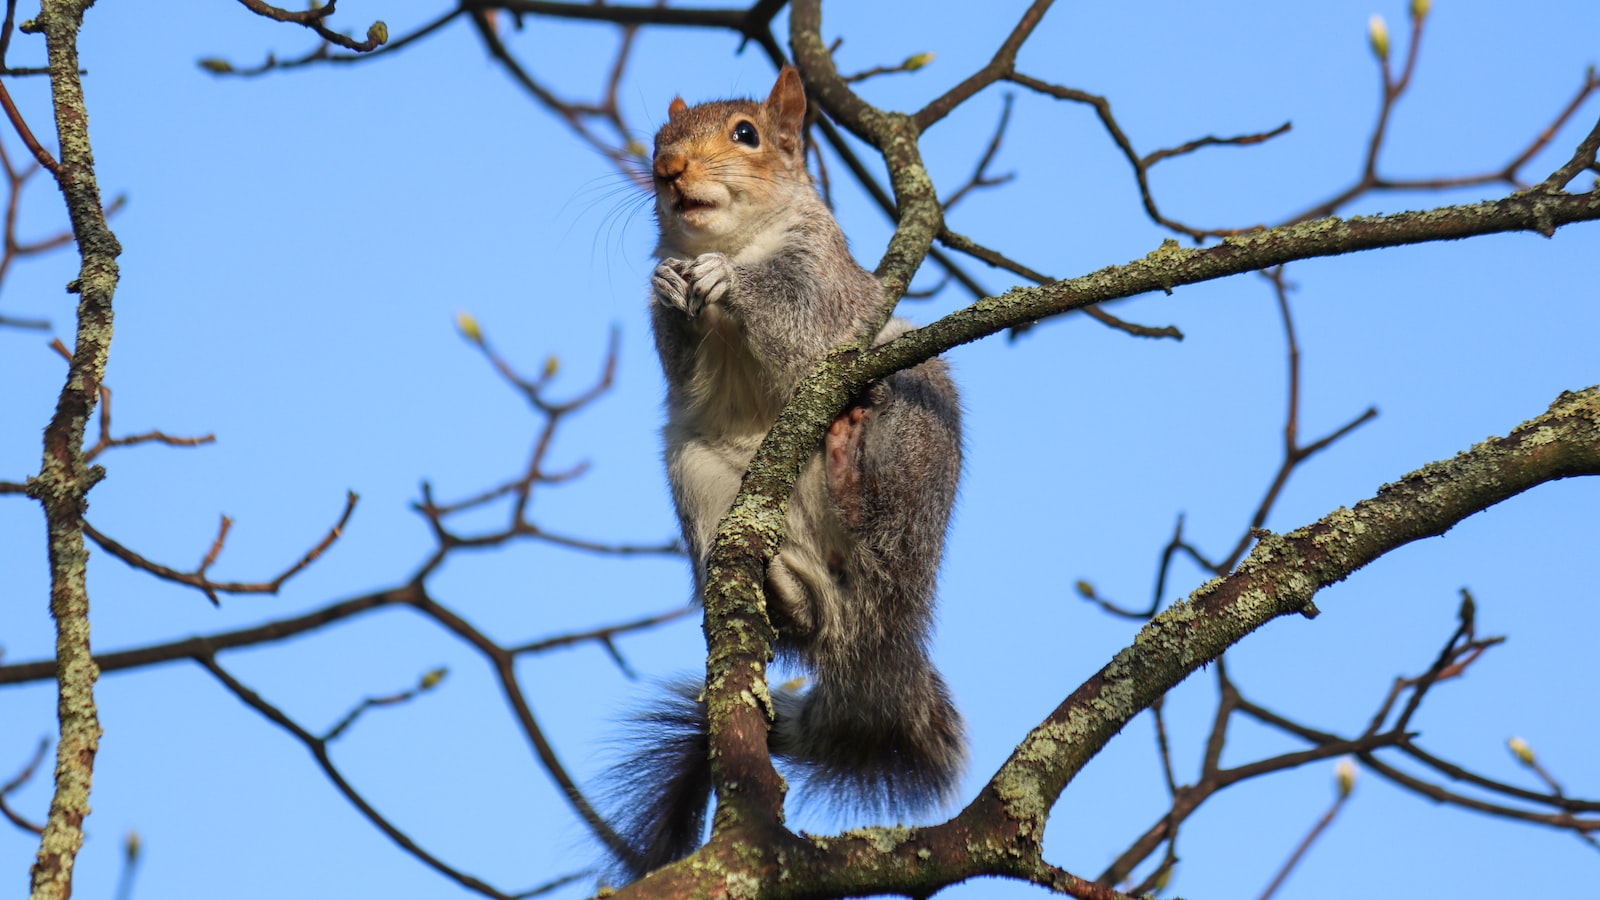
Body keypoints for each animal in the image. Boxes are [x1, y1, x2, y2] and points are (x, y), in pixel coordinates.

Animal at [608, 68, 960, 877]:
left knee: (879, 538)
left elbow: (797, 330)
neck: (739, 238)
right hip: (696, 470)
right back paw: (784, 590)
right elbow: (684, 367)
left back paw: (852, 473)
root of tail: (879, 636)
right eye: (658, 140)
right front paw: (672, 286)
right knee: (814, 611)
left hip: (914, 428)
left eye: (747, 134)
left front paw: (727, 280)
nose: (669, 171)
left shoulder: (826, 292)